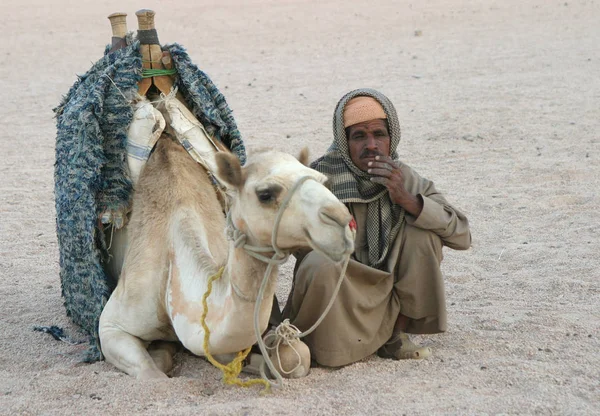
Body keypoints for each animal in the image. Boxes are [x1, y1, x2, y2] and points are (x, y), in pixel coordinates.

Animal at [96, 134, 354, 380]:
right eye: (265, 194)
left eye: (323, 181)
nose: (344, 221)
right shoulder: (111, 325)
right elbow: (153, 376)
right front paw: (162, 353)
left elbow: (294, 359)